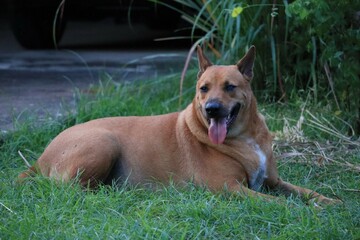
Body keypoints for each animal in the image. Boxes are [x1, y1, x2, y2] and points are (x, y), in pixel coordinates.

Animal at [18, 46, 338, 205]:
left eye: (230, 87)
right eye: (203, 88)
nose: (211, 109)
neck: (244, 138)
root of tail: (39, 159)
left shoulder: (273, 182)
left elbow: (305, 192)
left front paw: (329, 201)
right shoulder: (229, 188)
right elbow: (276, 203)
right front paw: (300, 211)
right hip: (103, 142)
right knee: (73, 190)